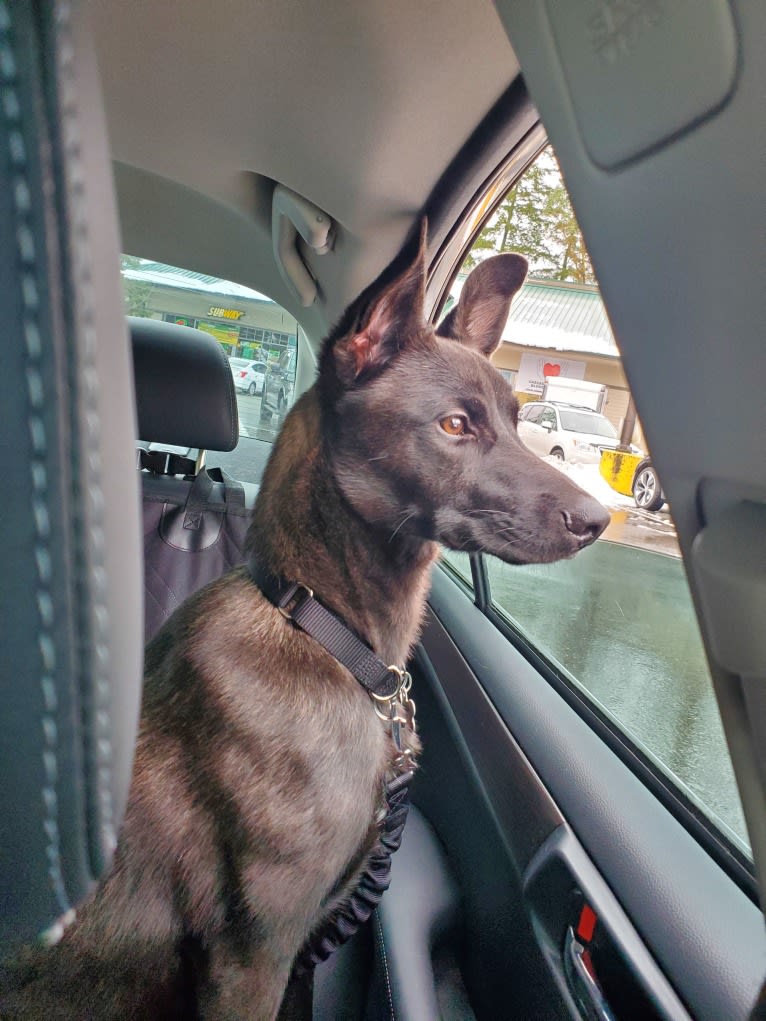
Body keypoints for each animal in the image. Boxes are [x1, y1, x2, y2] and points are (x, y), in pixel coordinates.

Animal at [0, 221, 612, 1012]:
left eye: (515, 421)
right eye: (454, 424)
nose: (598, 520)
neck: (322, 628)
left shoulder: (303, 942)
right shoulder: (253, 952)